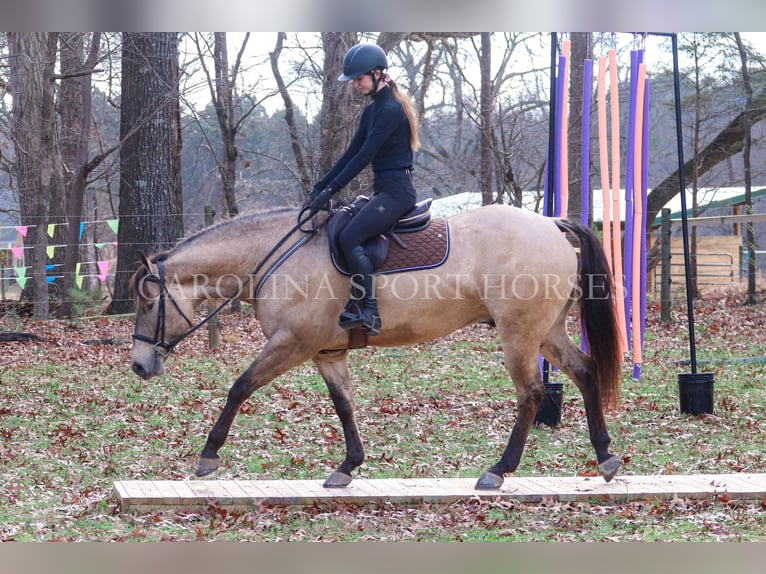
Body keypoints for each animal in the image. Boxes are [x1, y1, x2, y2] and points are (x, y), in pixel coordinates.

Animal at [130, 204, 624, 490]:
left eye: (147, 302)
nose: (138, 366)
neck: (273, 257)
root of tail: (551, 225)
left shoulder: (291, 343)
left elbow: (239, 387)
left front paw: (208, 456)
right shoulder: (327, 353)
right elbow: (344, 404)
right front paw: (348, 466)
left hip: (519, 335)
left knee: (531, 395)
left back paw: (498, 470)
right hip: (547, 332)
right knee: (584, 372)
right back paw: (605, 457)